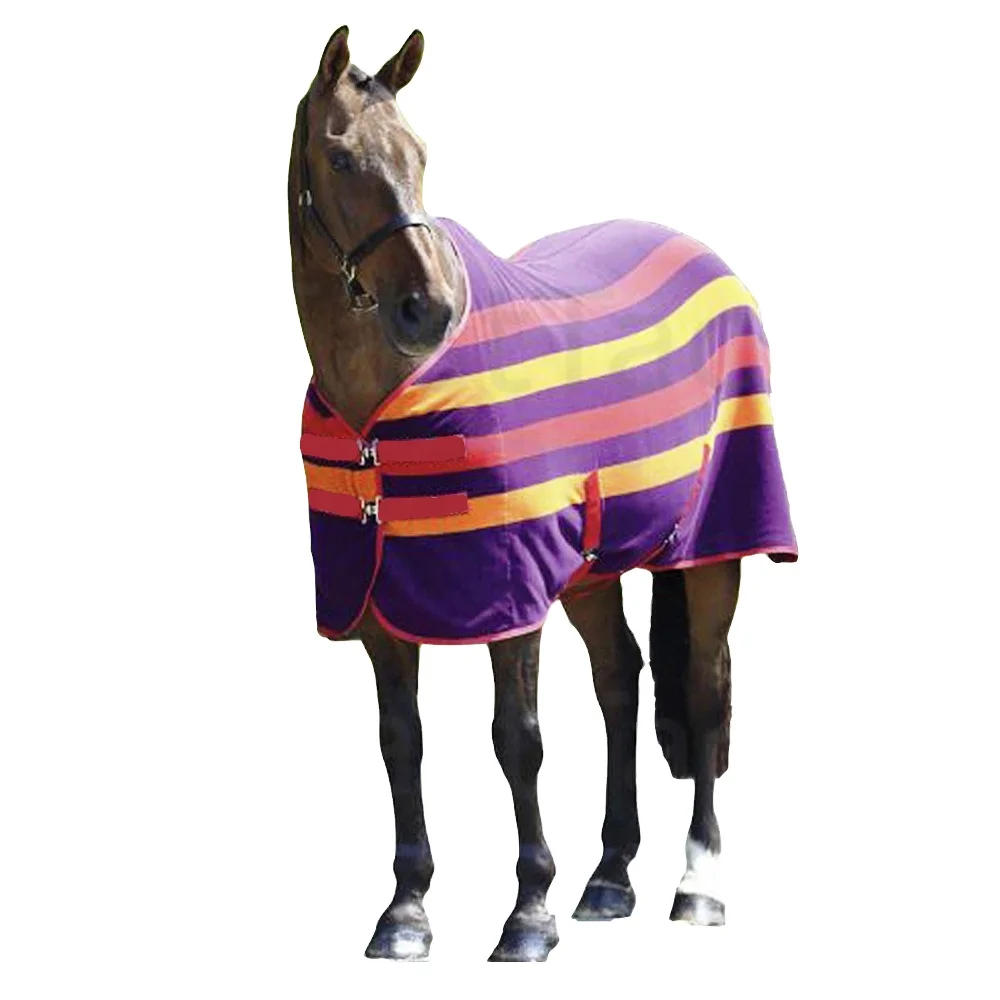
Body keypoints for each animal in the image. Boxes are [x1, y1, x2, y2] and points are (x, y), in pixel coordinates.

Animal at [287, 25, 796, 962]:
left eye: (420, 153)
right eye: (340, 159)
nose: (426, 308)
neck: (385, 405)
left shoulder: (509, 591)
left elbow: (516, 742)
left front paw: (528, 913)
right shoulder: (378, 603)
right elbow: (401, 743)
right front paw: (405, 912)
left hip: (716, 546)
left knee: (705, 694)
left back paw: (697, 887)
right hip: (593, 570)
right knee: (621, 681)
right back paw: (610, 878)